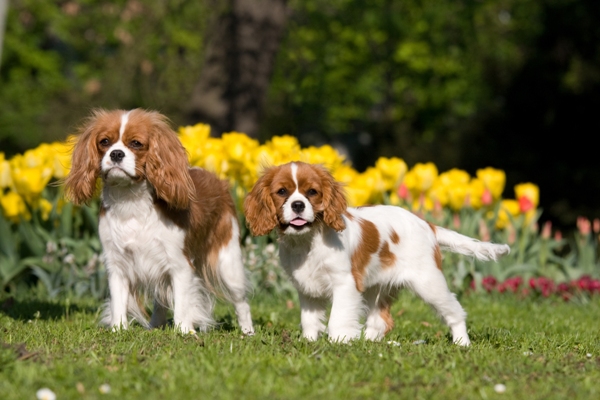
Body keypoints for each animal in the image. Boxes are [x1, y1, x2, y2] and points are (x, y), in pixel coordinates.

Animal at [65, 108, 253, 334]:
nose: (116, 154)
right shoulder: (117, 264)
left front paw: (184, 331)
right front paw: (118, 329)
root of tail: (219, 181)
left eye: (136, 143)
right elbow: (119, 300)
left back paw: (247, 331)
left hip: (228, 262)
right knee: (160, 300)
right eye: (105, 142)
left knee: (241, 300)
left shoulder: (180, 265)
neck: (130, 201)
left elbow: (182, 303)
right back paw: (155, 325)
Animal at [243, 162, 506, 344]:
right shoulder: (307, 288)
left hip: (429, 282)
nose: (298, 205)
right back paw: (369, 344)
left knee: (454, 310)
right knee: (381, 322)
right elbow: (309, 319)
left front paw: (338, 342)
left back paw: (462, 343)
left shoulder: (345, 283)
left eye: (312, 192)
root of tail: (426, 224)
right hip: (377, 289)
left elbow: (338, 318)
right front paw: (309, 341)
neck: (307, 241)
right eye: (282, 192)